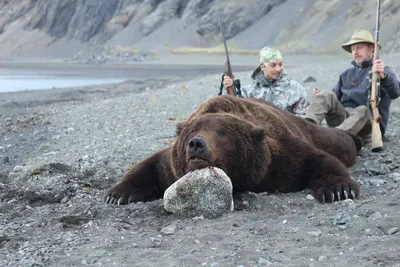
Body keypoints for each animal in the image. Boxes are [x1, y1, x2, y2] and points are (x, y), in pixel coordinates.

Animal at [104, 95, 362, 206]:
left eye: (221, 133)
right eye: (191, 131)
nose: (196, 143)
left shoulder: (282, 157)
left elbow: (318, 160)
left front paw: (339, 189)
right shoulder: (172, 165)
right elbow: (151, 166)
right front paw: (118, 194)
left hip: (307, 128)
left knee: (338, 143)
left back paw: (356, 138)